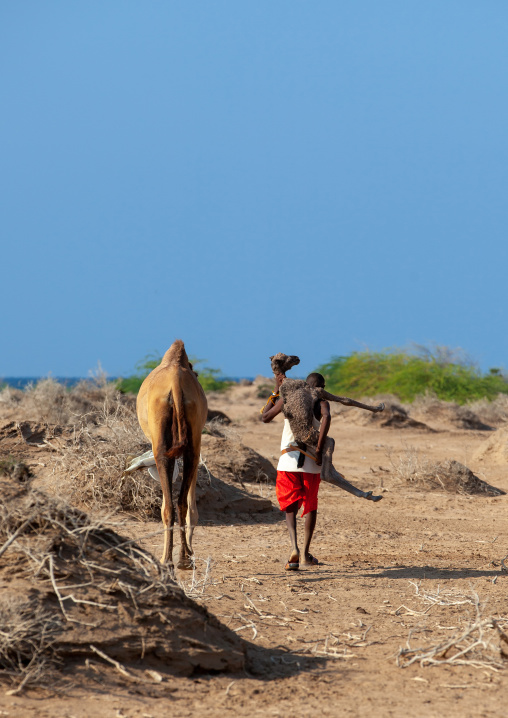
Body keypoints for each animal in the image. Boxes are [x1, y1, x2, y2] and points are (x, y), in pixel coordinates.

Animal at [137, 340, 208, 568]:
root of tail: (175, 385)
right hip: (192, 440)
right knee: (181, 502)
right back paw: (184, 560)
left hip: (160, 444)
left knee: (168, 505)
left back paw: (166, 559)